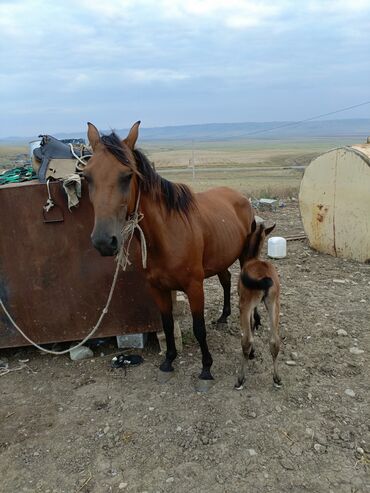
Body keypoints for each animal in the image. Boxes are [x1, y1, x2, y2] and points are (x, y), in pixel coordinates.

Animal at [84, 122, 256, 380]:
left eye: (128, 175)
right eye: (87, 177)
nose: (104, 241)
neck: (167, 234)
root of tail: (239, 196)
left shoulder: (194, 287)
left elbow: (198, 328)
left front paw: (206, 367)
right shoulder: (157, 288)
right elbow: (166, 324)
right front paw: (169, 360)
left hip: (245, 256)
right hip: (220, 258)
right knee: (226, 280)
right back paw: (224, 316)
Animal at [236, 222, 282, 388]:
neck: (253, 259)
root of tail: (264, 278)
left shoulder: (246, 303)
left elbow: (250, 323)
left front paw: (252, 354)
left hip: (245, 305)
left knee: (247, 340)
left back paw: (240, 379)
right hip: (274, 304)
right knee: (275, 341)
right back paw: (277, 378)